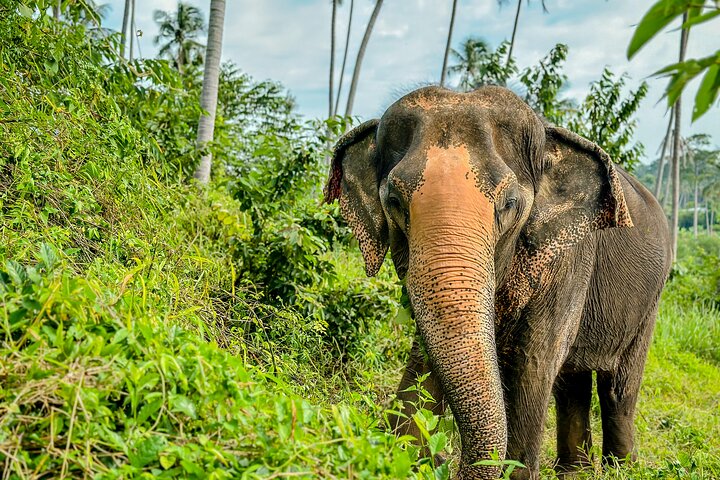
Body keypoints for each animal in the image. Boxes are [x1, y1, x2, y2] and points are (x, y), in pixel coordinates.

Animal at [324, 85, 672, 479]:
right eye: (394, 201)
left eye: (509, 204)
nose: (442, 460)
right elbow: (426, 356)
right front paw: (405, 451)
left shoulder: (569, 259)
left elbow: (534, 360)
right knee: (572, 383)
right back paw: (575, 472)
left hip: (649, 304)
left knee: (617, 388)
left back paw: (619, 469)